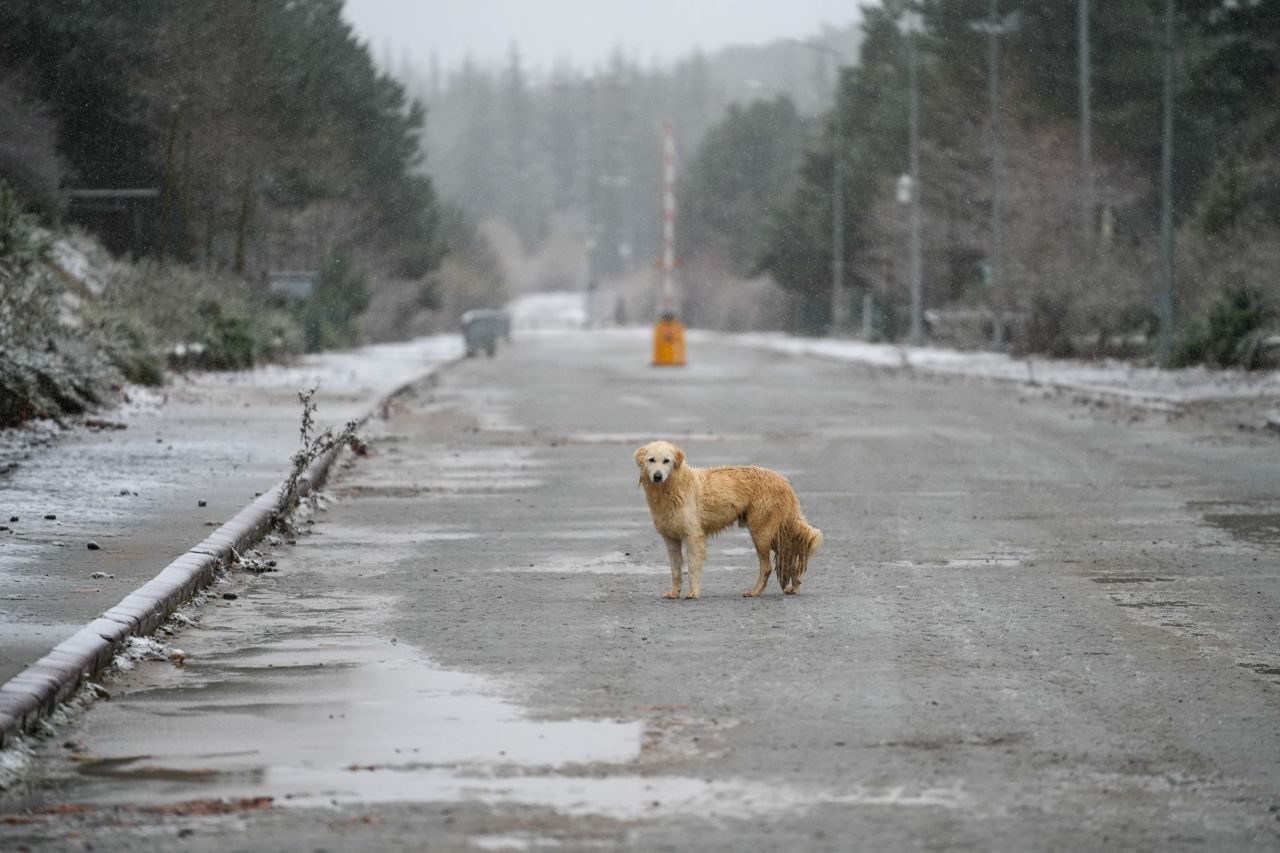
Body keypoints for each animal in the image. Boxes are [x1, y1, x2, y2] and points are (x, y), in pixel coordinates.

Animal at [634, 438, 824, 596]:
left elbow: (693, 569)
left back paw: (755, 592)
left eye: (666, 460)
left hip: (761, 533)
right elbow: (675, 571)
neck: (670, 489)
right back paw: (794, 587)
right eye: (651, 460)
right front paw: (674, 593)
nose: (657, 476)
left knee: (768, 566)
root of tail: (784, 481)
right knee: (792, 554)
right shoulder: (671, 539)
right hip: (773, 534)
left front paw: (693, 593)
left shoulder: (693, 536)